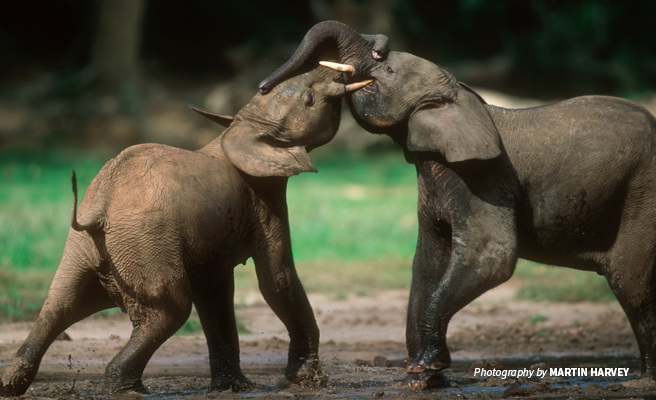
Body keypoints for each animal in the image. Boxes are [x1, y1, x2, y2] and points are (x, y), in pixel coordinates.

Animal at [0, 57, 376, 396]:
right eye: (309, 99)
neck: (236, 131)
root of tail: (100, 207)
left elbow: (216, 294)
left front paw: (235, 389)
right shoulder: (263, 201)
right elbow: (277, 280)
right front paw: (306, 382)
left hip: (84, 247)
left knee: (57, 306)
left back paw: (11, 384)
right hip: (143, 241)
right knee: (169, 311)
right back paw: (128, 390)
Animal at [262, 21, 656, 388]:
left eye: (388, 70)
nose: (263, 87)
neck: (458, 98)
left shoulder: (482, 176)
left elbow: (492, 257)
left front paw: (425, 369)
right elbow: (427, 262)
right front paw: (421, 379)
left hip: (642, 196)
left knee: (632, 283)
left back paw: (642, 381)